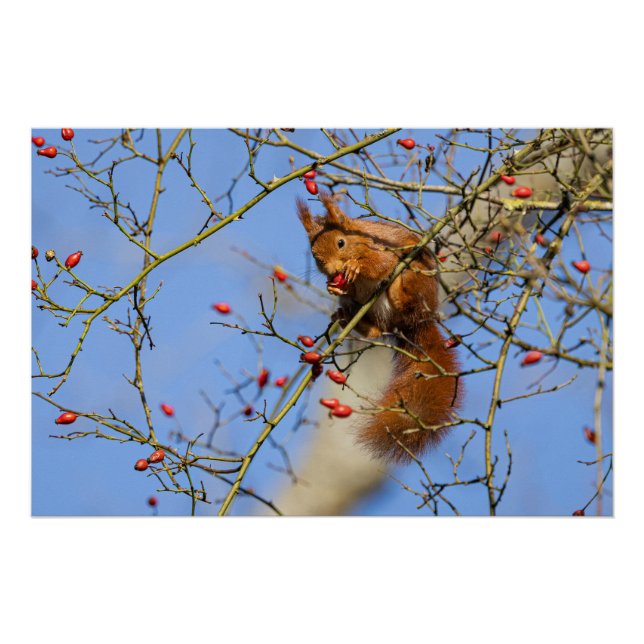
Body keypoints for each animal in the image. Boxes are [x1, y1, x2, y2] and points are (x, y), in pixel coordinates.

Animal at [297, 192, 461, 463]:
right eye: (313, 252)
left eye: (341, 242)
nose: (332, 271)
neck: (359, 239)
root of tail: (418, 322)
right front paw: (334, 286)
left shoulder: (382, 247)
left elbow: (381, 263)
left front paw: (357, 267)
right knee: (375, 330)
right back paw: (346, 316)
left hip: (417, 277)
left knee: (405, 293)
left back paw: (397, 291)